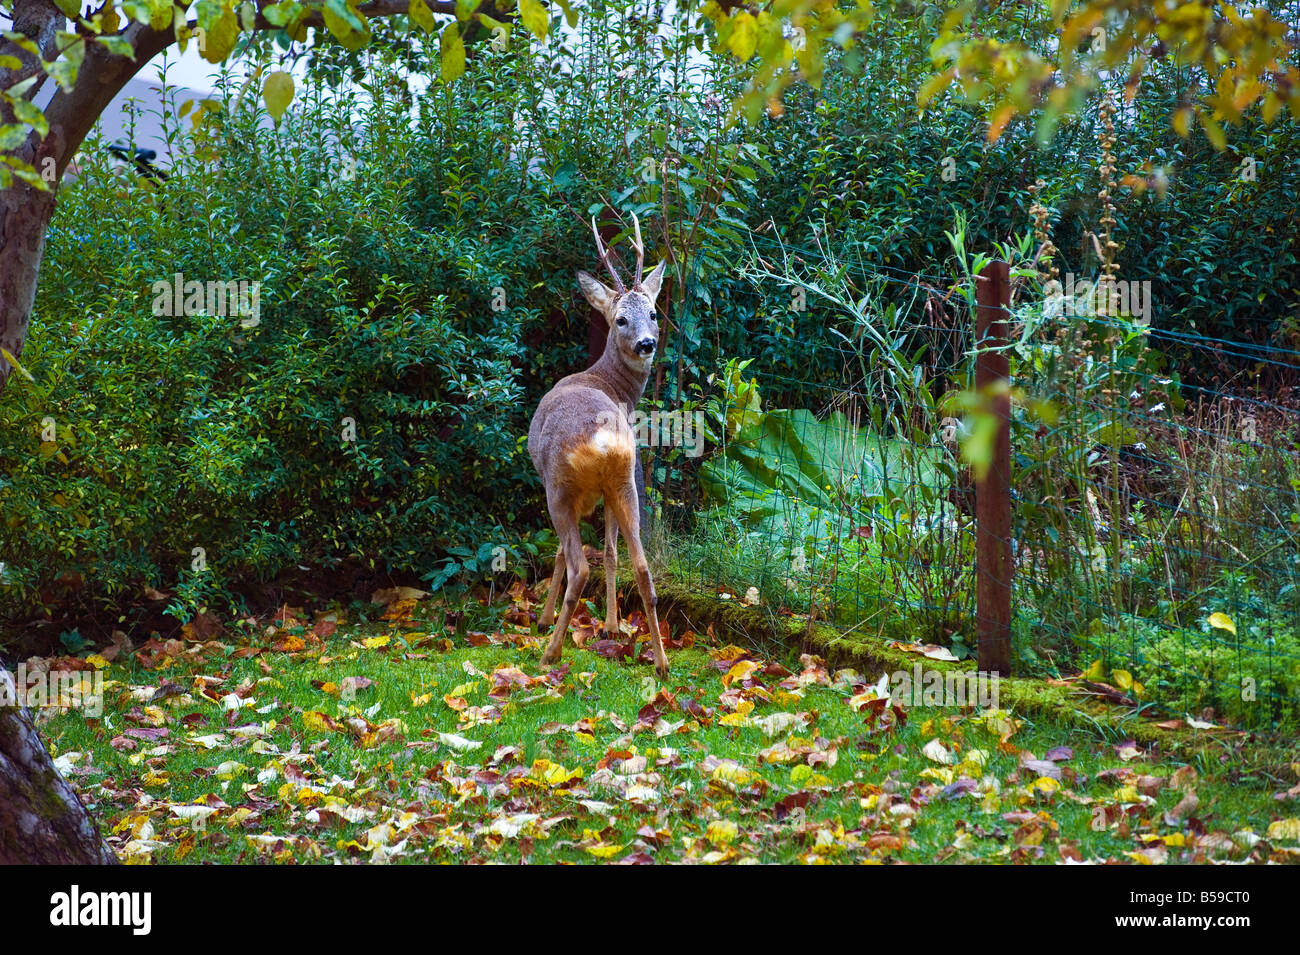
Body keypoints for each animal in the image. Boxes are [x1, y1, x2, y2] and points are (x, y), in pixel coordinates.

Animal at [527, 214, 670, 680]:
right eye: (621, 319)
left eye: (652, 313)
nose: (647, 343)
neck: (608, 384)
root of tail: (604, 438)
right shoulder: (606, 491)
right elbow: (611, 552)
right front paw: (610, 626)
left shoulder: (554, 487)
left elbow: (561, 554)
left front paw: (543, 618)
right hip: (624, 481)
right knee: (641, 567)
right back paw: (661, 664)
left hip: (559, 486)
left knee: (579, 566)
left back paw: (549, 653)